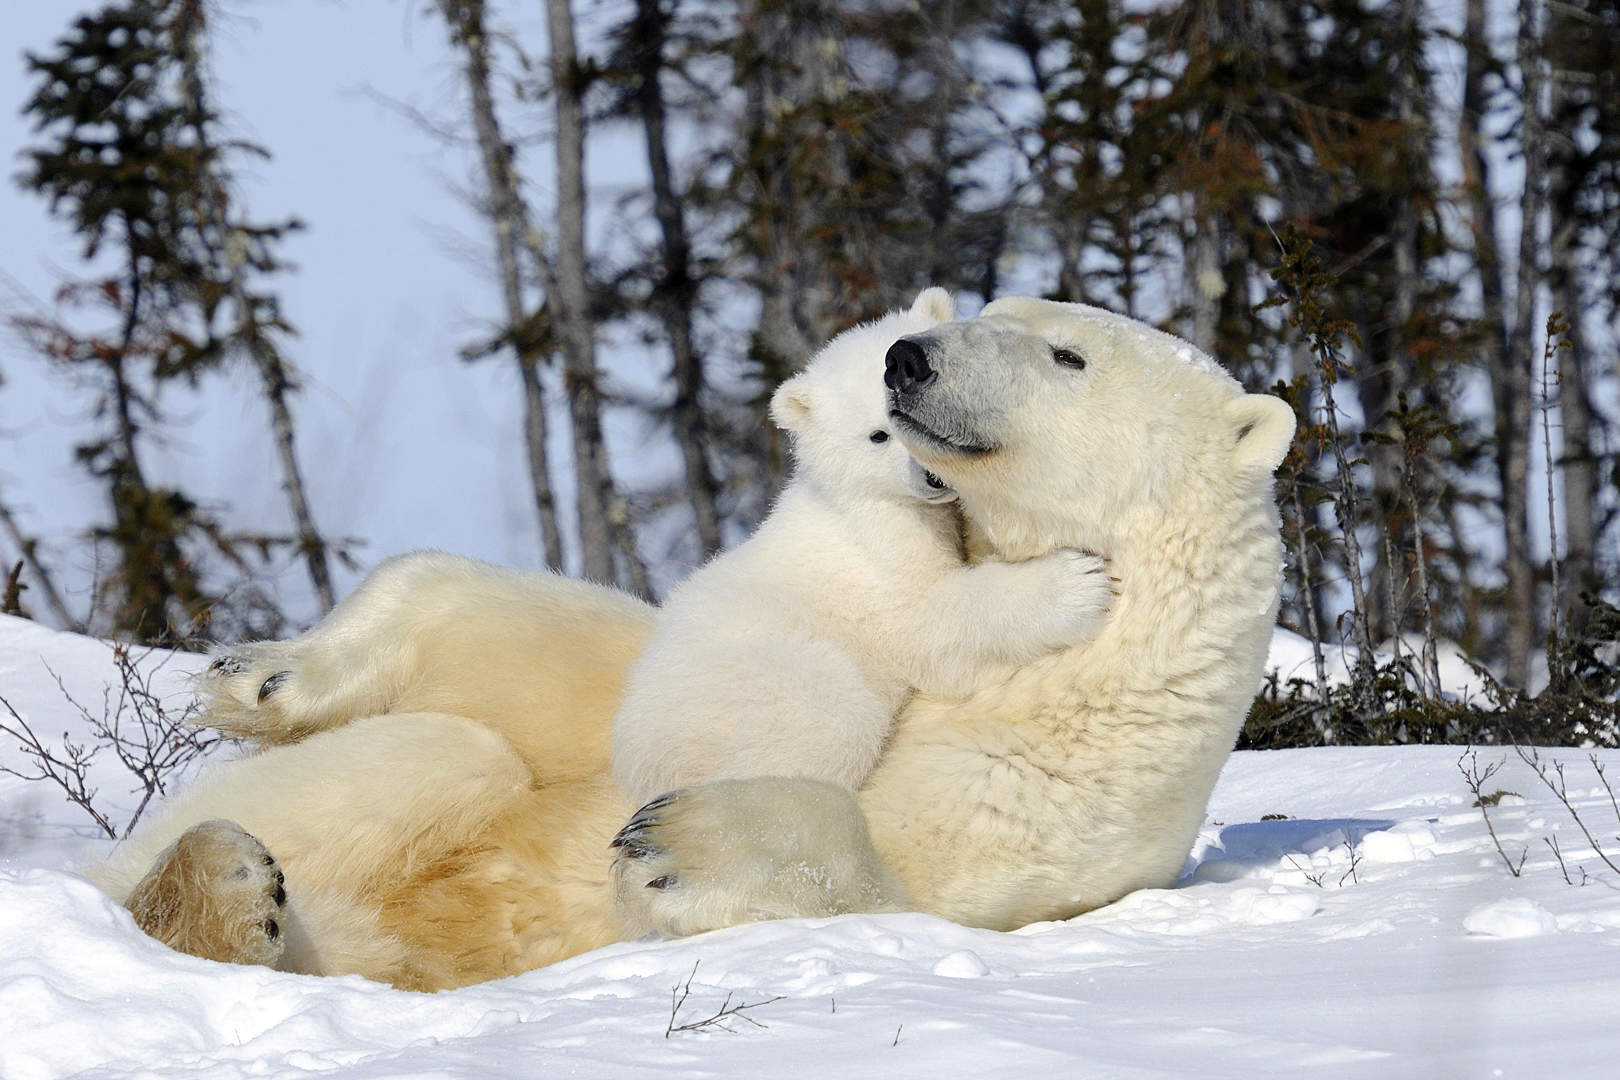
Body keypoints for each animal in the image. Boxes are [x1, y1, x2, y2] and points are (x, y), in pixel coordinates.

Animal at [94, 296, 1296, 990]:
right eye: (989, 301)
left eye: (1067, 354)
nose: (911, 358)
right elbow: (542, 655)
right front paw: (262, 674)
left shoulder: (1061, 794)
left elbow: (902, 880)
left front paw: (682, 840)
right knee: (444, 755)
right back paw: (219, 873)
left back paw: (226, 898)